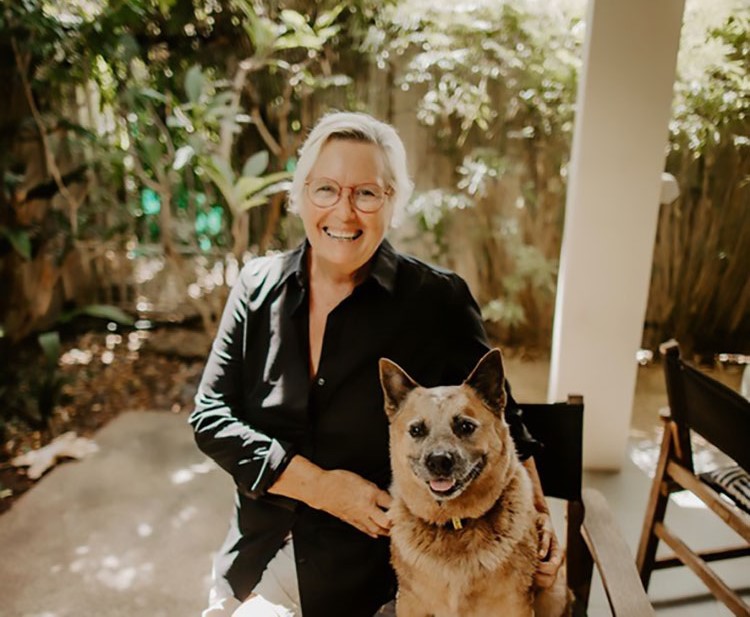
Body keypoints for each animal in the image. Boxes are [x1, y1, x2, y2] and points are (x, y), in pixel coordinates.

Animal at [382, 348, 568, 616]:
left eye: (465, 426)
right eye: (416, 430)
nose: (438, 461)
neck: (454, 523)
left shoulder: (513, 605)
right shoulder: (410, 602)